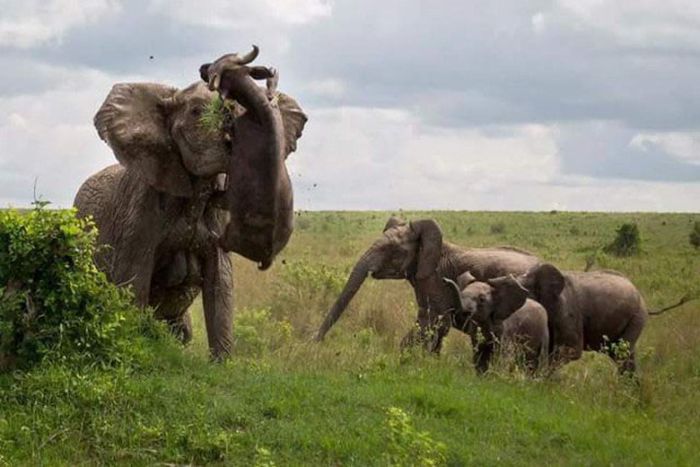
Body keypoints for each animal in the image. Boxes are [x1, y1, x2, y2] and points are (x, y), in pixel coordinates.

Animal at [75, 47, 308, 360]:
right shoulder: (139, 211)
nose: (209, 68)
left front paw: (222, 364)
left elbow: (221, 284)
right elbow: (133, 280)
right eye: (197, 112)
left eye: (236, 110)